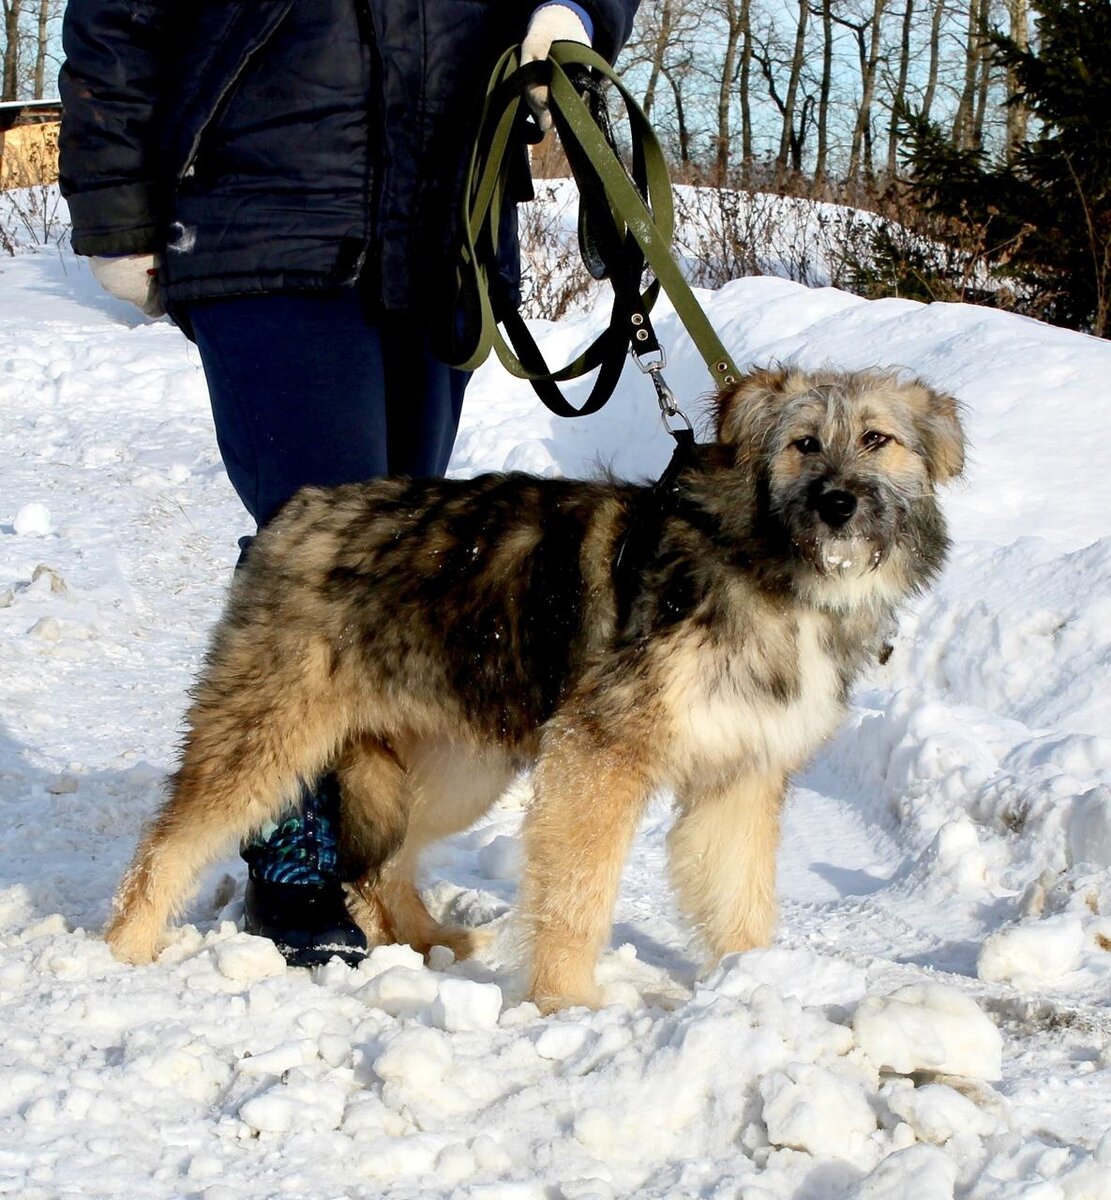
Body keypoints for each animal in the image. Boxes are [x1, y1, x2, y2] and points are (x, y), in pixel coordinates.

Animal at [104, 364, 964, 1012]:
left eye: (877, 440)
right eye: (802, 443)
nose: (837, 502)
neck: (769, 567)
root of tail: (297, 510)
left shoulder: (741, 775)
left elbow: (738, 891)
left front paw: (754, 984)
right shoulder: (596, 760)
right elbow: (575, 895)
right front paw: (567, 1002)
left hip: (459, 766)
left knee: (379, 864)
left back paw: (430, 942)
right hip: (267, 729)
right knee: (169, 842)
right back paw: (124, 952)